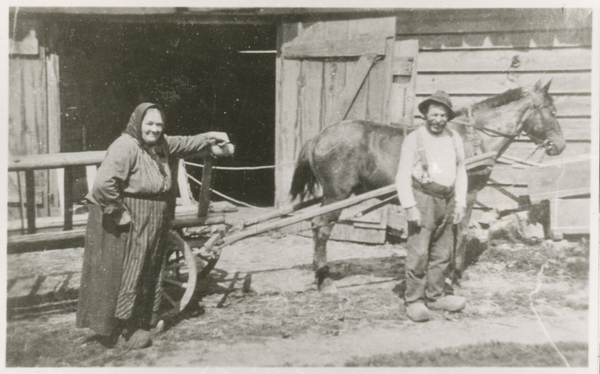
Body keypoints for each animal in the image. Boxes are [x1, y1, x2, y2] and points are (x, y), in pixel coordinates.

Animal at [290, 79, 568, 292]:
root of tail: (320, 137)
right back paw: (325, 280)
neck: (475, 138)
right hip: (337, 195)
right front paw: (457, 276)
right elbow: (462, 233)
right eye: (552, 111)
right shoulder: (468, 193)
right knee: (322, 230)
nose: (560, 145)